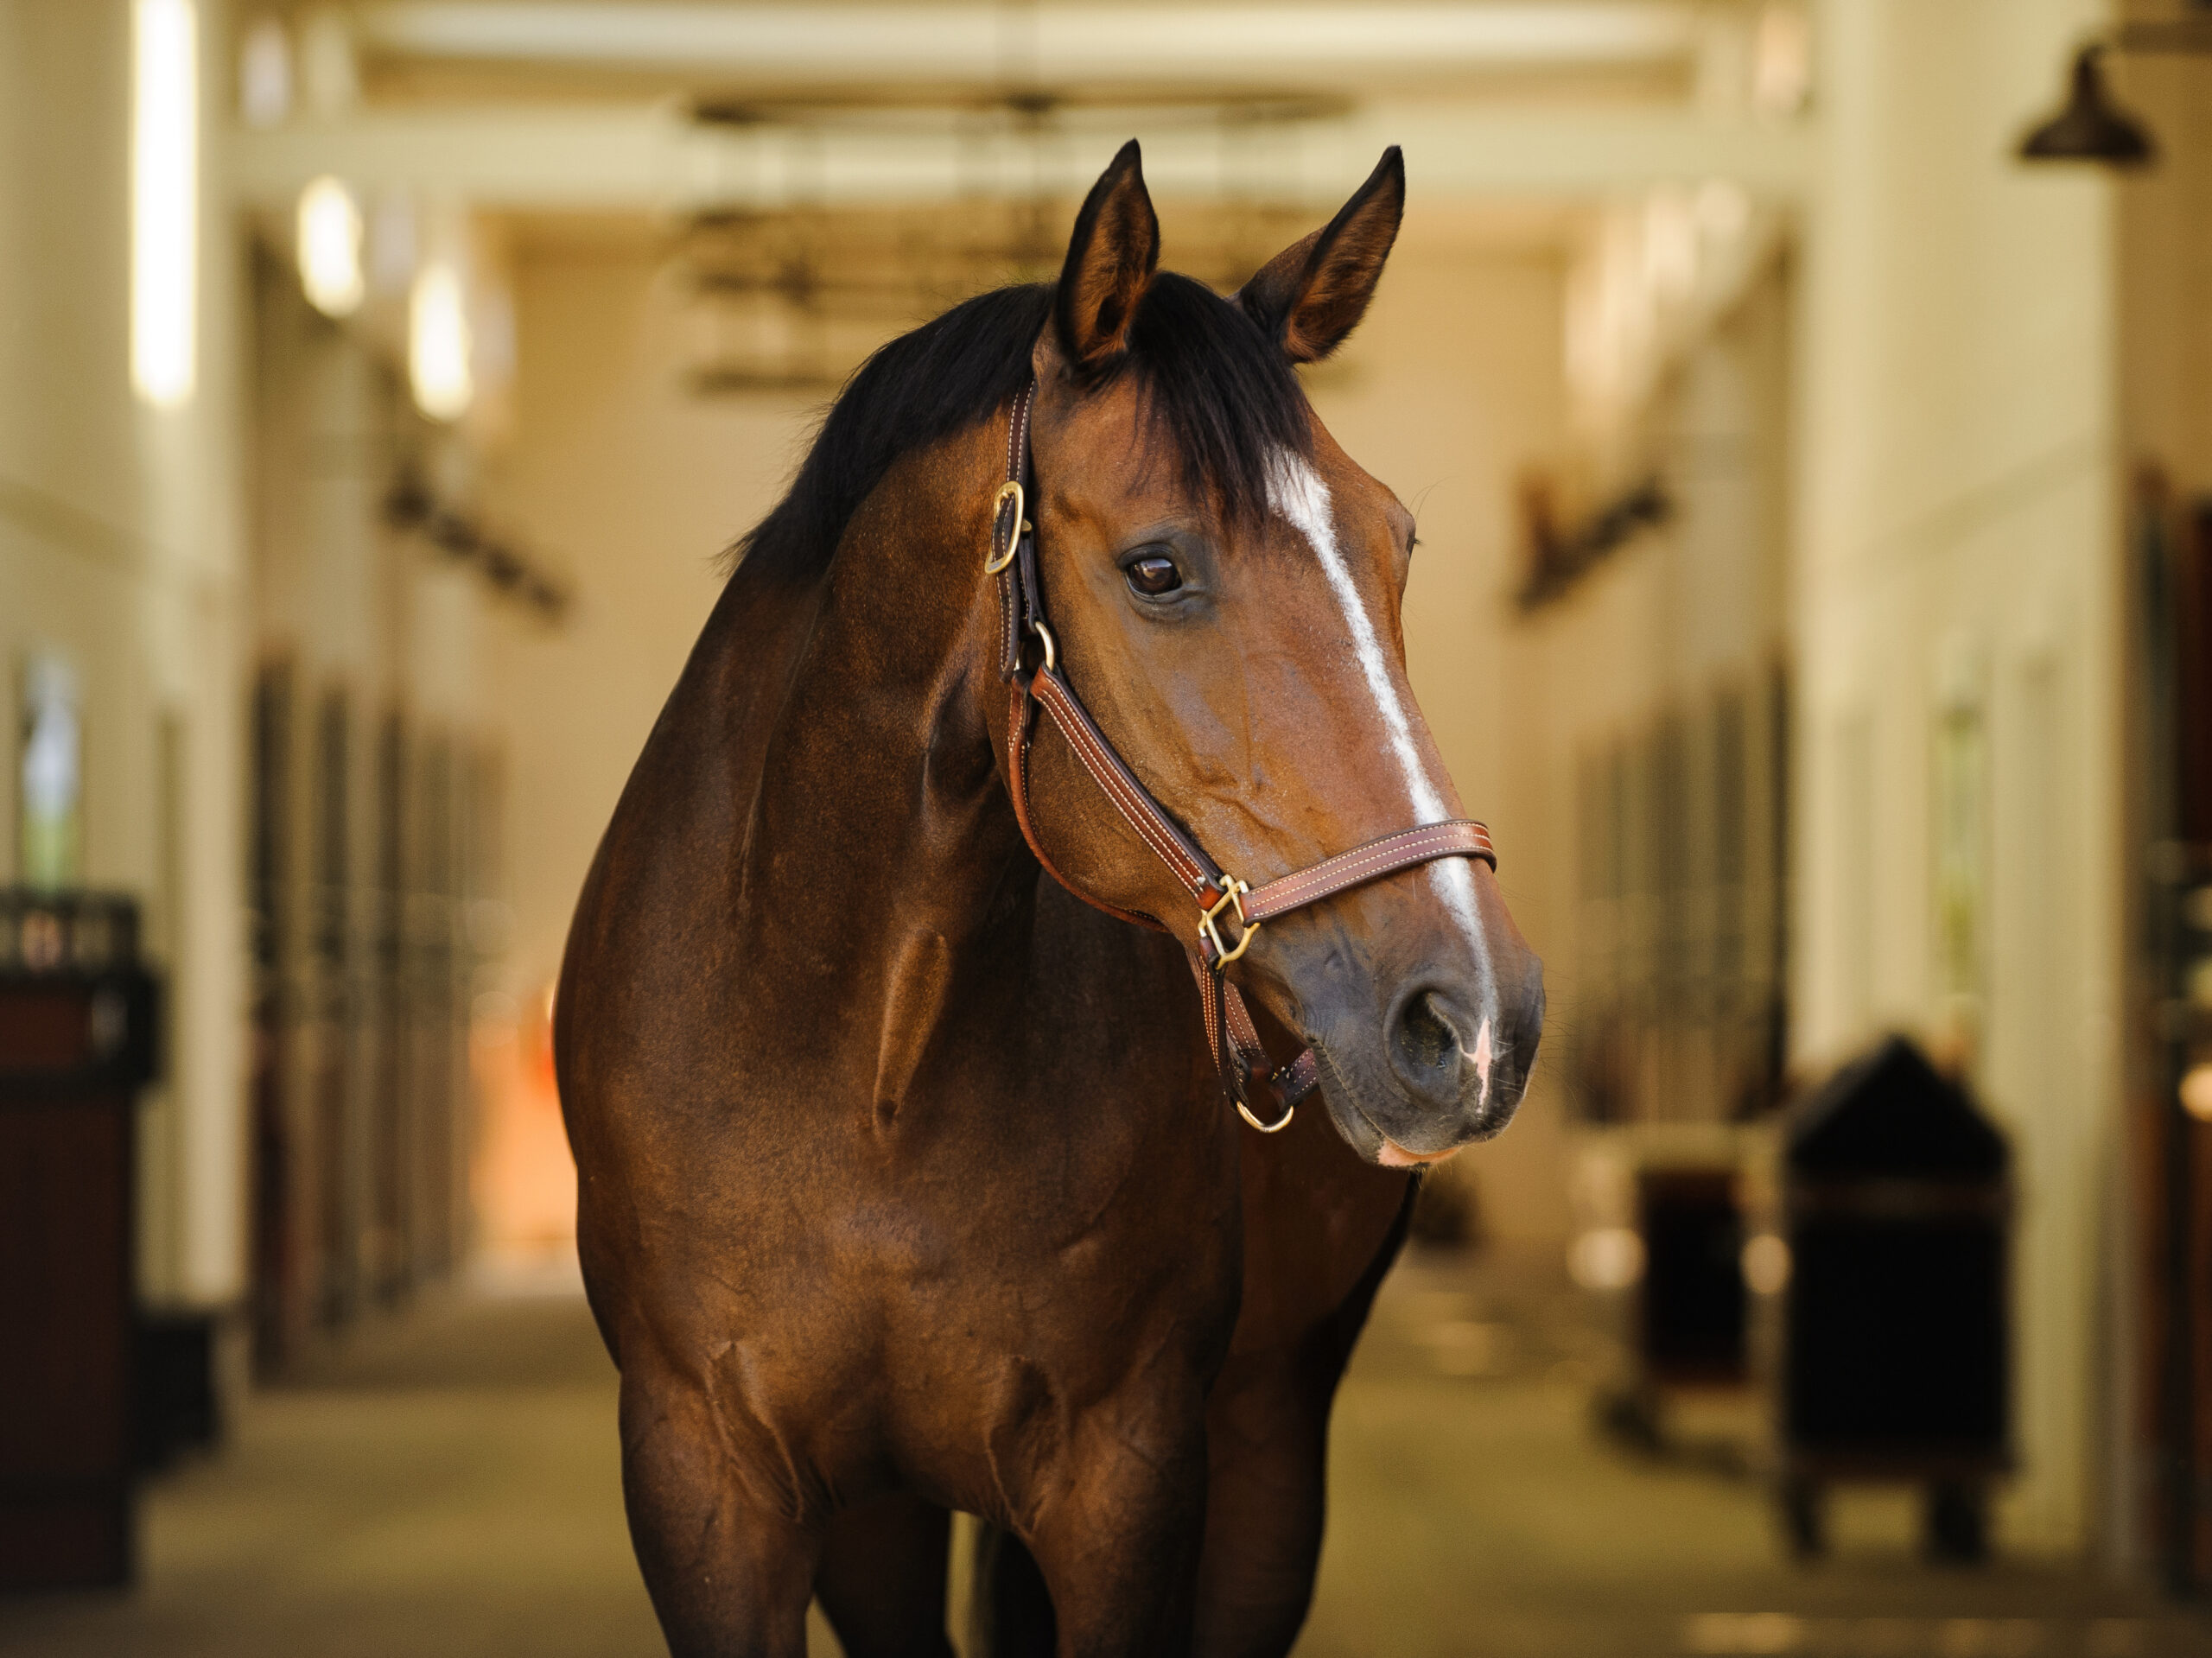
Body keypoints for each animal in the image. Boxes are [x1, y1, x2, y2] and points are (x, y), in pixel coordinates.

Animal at [555, 140, 1544, 1658]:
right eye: (1157, 566)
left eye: (1399, 546)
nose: (1476, 1017)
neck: (872, 1068)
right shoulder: (705, 1477)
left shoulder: (1127, 1474)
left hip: (1269, 1441)